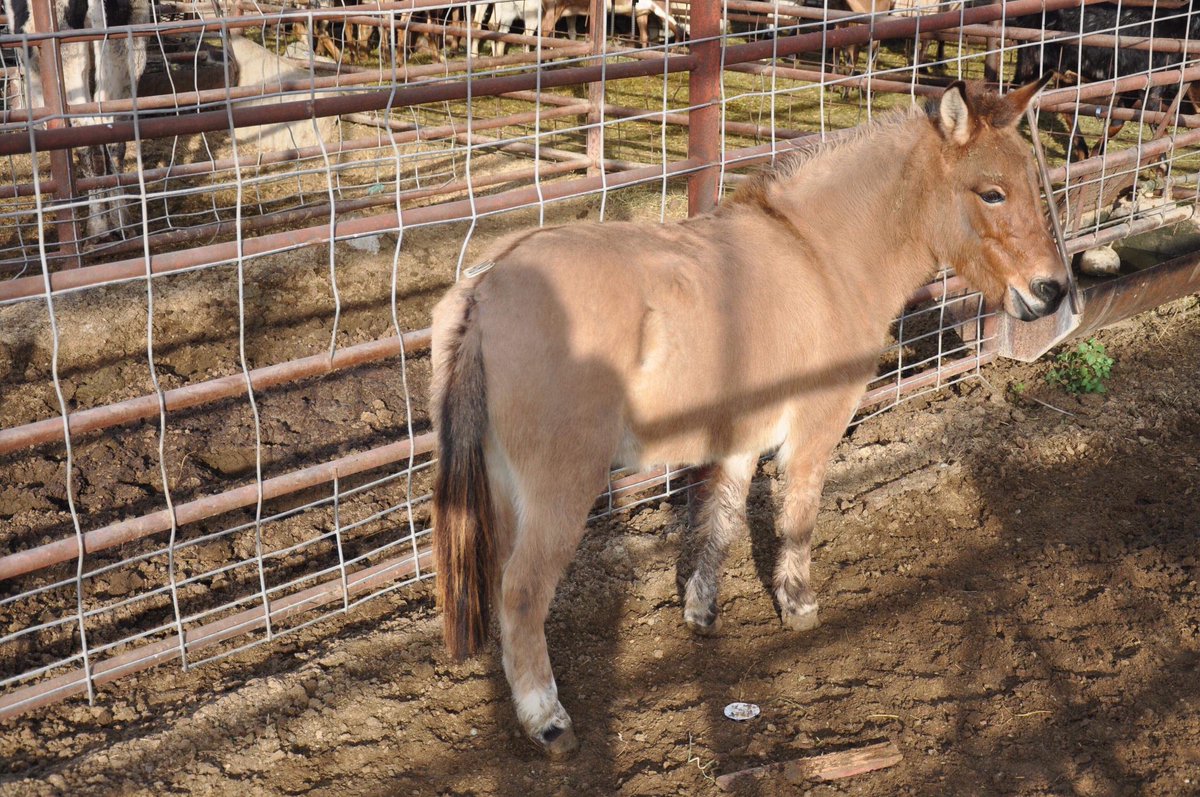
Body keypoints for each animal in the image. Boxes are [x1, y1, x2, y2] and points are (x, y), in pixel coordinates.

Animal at [431, 77, 1066, 757]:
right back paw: (547, 720)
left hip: (504, 486)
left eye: (1032, 180)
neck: (822, 260)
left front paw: (702, 613)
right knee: (522, 593)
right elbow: (798, 518)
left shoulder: (738, 437)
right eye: (992, 192)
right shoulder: (815, 428)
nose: (1053, 291)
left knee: (502, 584)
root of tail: (487, 288)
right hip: (560, 486)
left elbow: (722, 520)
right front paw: (799, 606)